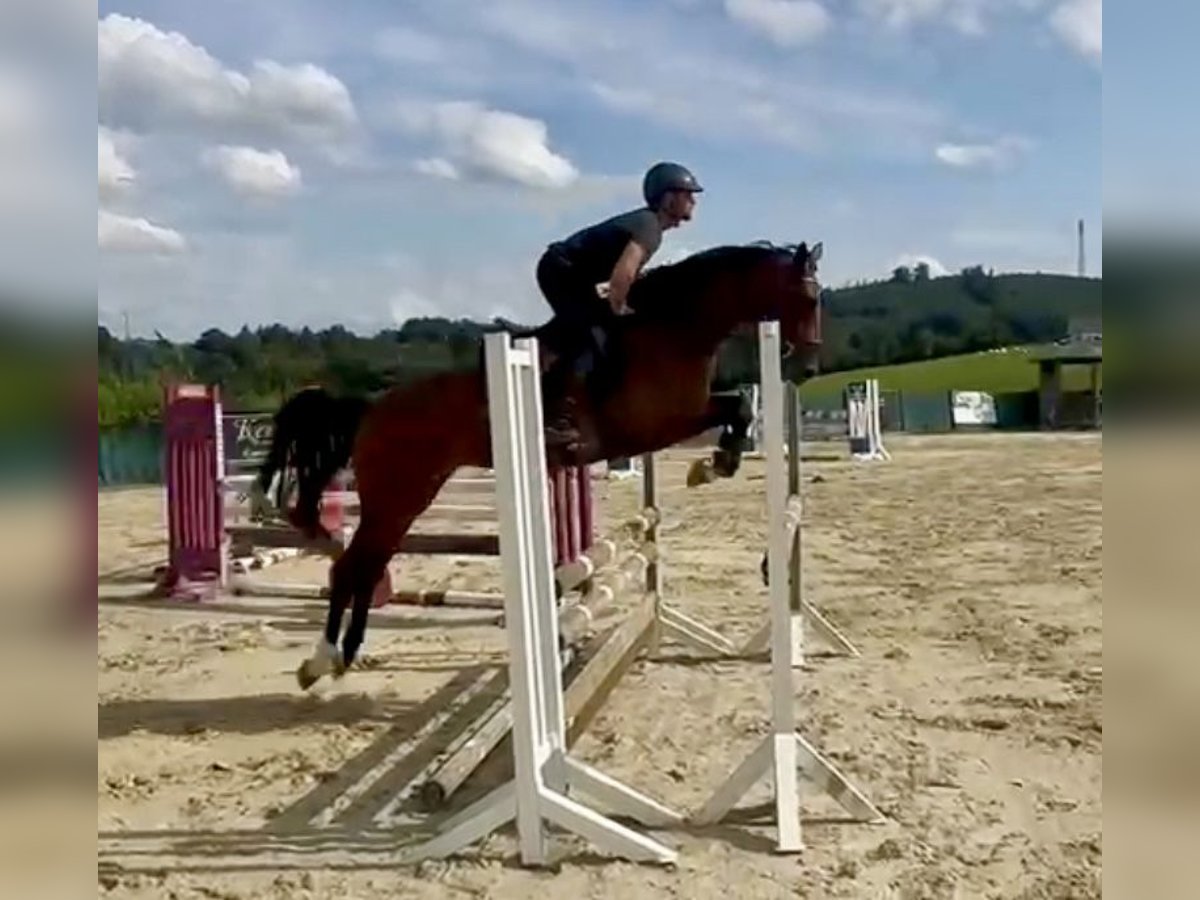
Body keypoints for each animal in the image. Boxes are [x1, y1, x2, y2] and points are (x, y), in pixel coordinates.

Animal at [248, 240, 820, 691]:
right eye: (809, 297)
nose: (809, 364)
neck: (674, 328)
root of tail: (371, 407)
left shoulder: (684, 415)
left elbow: (737, 408)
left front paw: (716, 463)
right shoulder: (657, 425)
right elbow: (736, 408)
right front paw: (713, 464)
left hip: (409, 496)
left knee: (365, 565)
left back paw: (341, 657)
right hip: (397, 492)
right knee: (352, 567)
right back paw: (321, 660)